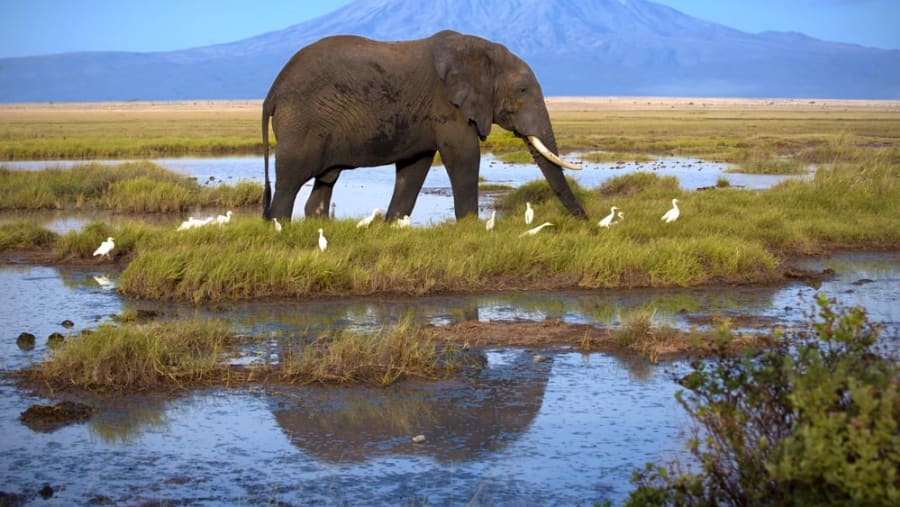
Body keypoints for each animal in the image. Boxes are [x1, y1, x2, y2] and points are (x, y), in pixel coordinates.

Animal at [261, 30, 588, 222]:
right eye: (522, 90)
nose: (586, 223)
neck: (480, 50)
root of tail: (273, 91)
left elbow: (414, 167)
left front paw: (392, 225)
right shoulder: (447, 105)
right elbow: (464, 156)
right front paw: (469, 228)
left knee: (325, 181)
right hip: (301, 122)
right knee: (290, 180)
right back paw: (281, 227)